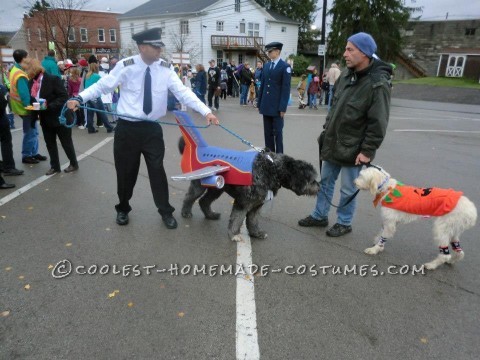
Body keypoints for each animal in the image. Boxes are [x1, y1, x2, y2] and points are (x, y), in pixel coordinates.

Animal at [178, 138, 320, 242]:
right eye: (312, 179)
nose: (319, 187)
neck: (272, 169)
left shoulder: (256, 205)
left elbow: (252, 221)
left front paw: (256, 233)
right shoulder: (243, 203)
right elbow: (237, 219)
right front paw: (234, 235)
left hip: (216, 189)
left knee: (204, 201)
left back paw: (210, 215)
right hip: (199, 186)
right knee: (189, 197)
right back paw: (185, 212)